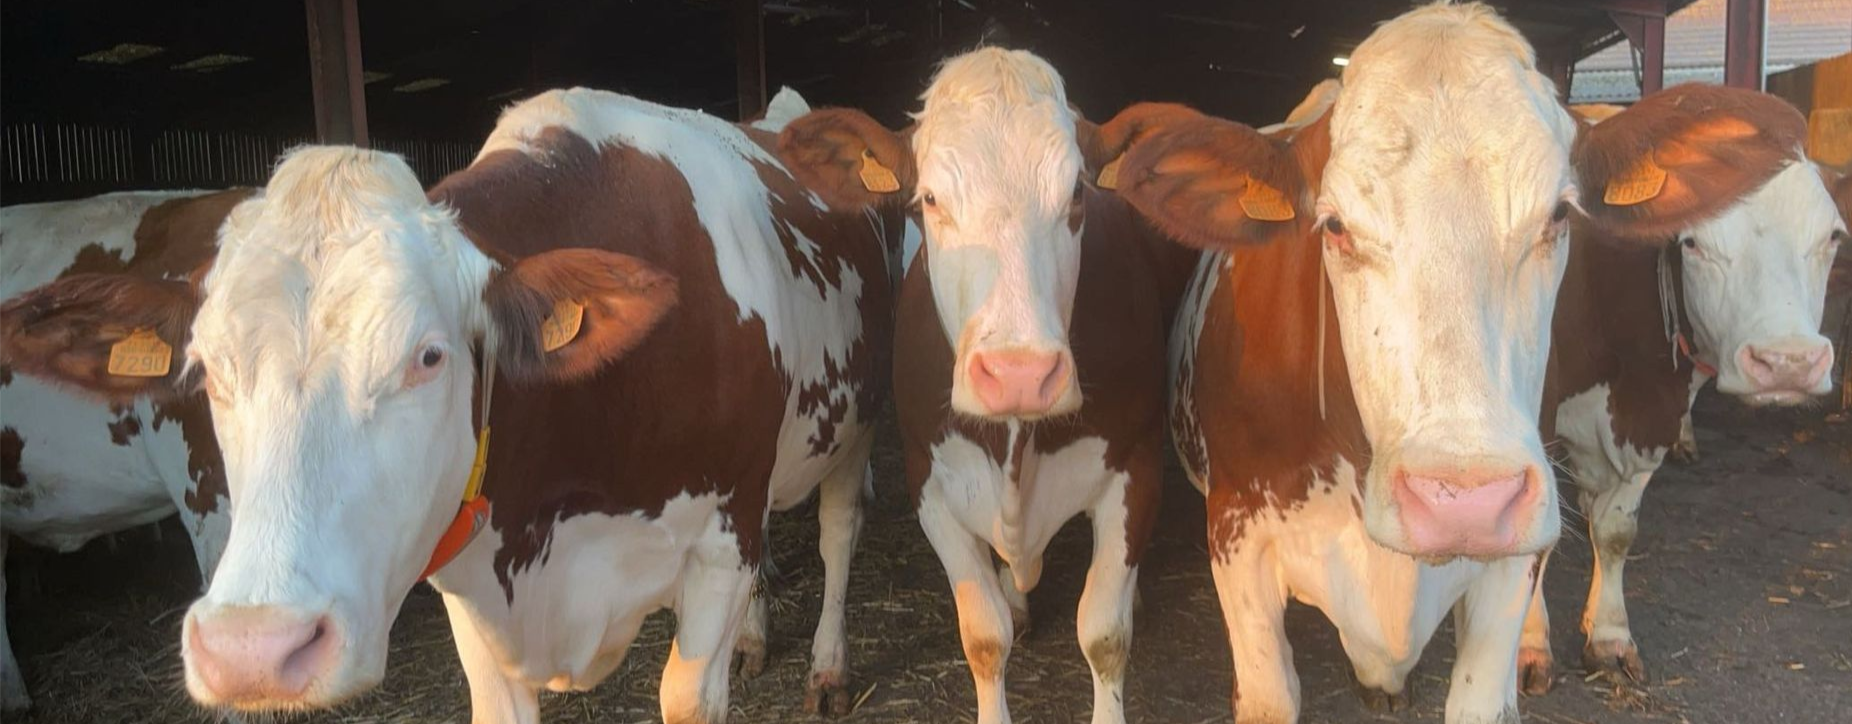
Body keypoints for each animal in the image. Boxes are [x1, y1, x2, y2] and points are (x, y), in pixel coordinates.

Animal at [774, 48, 1201, 724]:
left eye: (1077, 192)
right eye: (928, 199)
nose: (1018, 374)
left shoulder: (1136, 468)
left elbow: (1104, 634)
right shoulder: (930, 482)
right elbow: (983, 637)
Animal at [1518, 97, 1852, 689]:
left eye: (1833, 236)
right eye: (1693, 242)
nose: (1787, 363)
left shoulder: (1654, 411)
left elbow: (1616, 529)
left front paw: (1609, 636)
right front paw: (1530, 645)